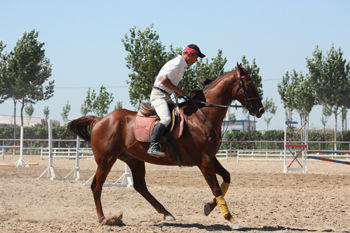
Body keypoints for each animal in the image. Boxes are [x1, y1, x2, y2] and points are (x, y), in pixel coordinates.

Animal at [67, 62, 264, 229]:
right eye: (248, 84)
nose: (260, 110)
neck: (201, 116)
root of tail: (100, 120)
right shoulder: (204, 160)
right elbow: (216, 187)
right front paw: (231, 219)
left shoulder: (210, 157)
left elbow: (226, 178)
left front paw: (209, 206)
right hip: (106, 160)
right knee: (96, 186)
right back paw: (103, 219)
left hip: (134, 159)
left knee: (140, 186)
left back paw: (166, 212)